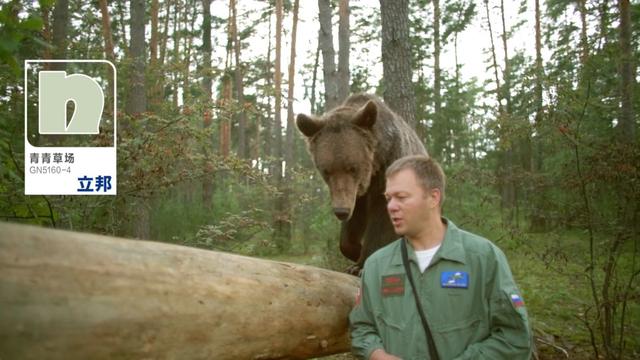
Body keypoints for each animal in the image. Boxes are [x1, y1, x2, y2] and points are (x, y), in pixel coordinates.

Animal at [298, 93, 428, 272]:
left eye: (352, 167)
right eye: (326, 170)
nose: (341, 211)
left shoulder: (386, 171)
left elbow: (381, 221)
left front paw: (360, 265)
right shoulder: (356, 194)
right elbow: (352, 225)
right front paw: (355, 251)